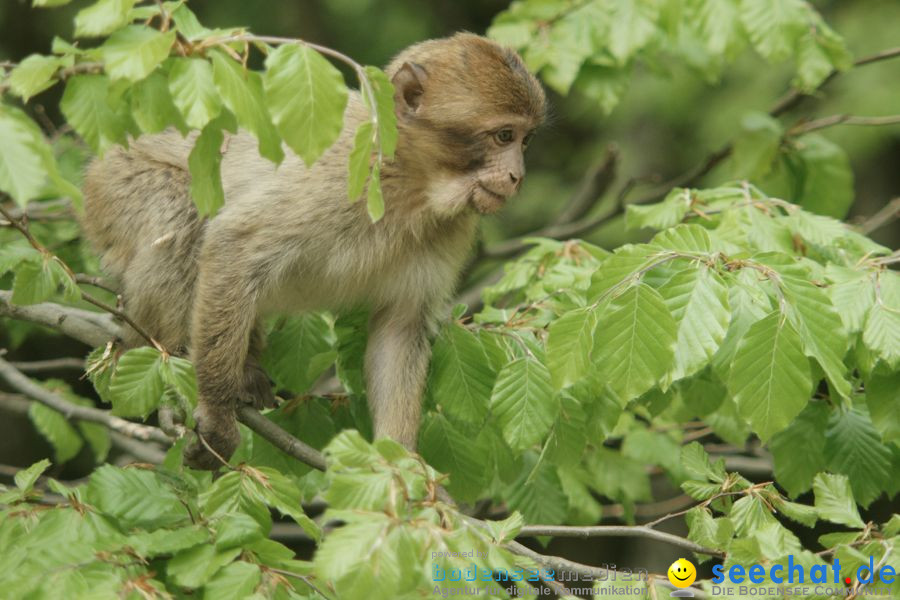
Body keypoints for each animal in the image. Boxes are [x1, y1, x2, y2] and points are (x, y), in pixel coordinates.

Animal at [82, 31, 548, 468]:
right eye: (503, 136)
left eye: (525, 141)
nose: (517, 175)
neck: (409, 181)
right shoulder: (337, 179)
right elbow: (235, 243)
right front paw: (215, 414)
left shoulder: (450, 230)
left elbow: (400, 329)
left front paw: (398, 466)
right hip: (116, 186)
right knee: (183, 216)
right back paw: (167, 351)